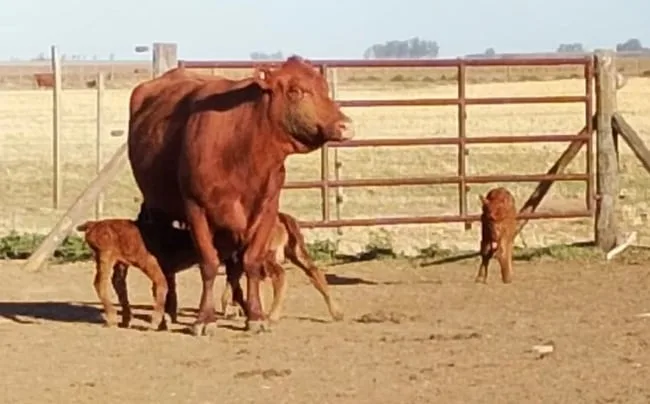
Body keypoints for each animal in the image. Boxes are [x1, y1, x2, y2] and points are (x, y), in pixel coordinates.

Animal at [127, 55, 353, 336]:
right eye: (295, 91)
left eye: (324, 89)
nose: (345, 126)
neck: (242, 149)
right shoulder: (196, 210)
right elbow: (209, 263)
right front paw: (204, 319)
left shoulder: (266, 210)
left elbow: (251, 262)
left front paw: (255, 316)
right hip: (160, 210)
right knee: (167, 266)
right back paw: (168, 311)